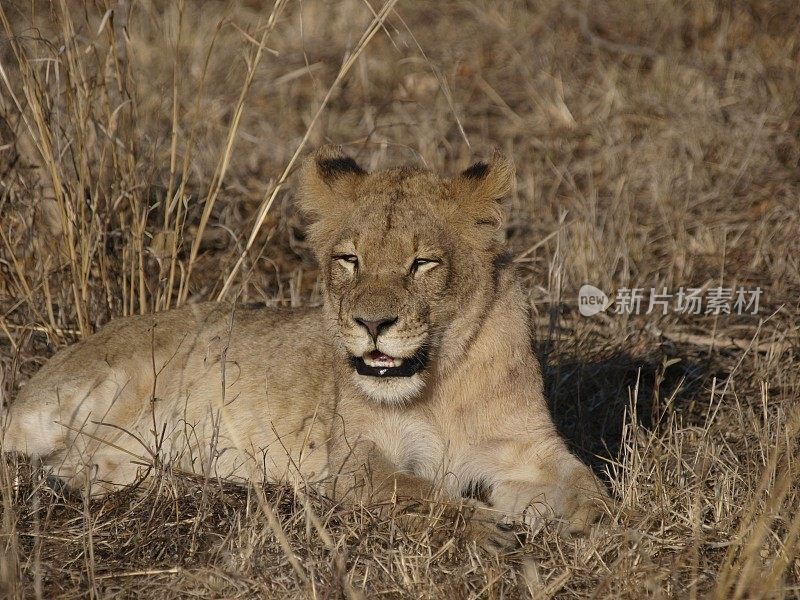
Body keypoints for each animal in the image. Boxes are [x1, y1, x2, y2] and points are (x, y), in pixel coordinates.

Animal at [3, 148, 608, 548]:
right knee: (67, 463)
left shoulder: (526, 448)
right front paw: (485, 524)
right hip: (118, 382)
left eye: (422, 263)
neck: (439, 384)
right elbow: (415, 490)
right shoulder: (355, 460)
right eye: (350, 259)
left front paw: (594, 525)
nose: (372, 323)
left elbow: (587, 486)